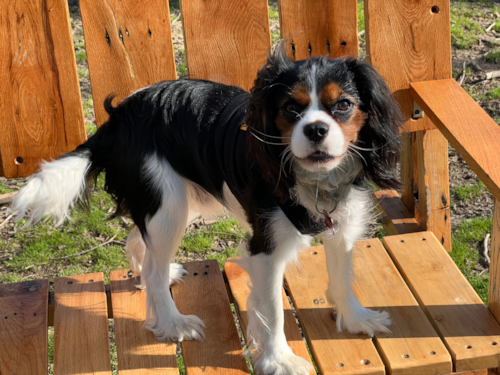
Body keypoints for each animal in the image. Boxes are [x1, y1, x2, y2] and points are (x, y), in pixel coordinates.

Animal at [10, 47, 402, 375]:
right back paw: (172, 323)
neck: (315, 180)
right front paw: (280, 360)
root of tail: (120, 116)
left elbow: (342, 276)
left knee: (140, 243)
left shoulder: (342, 226)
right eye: (291, 109)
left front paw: (355, 319)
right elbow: (273, 310)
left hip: (175, 204)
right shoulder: (266, 247)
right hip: (169, 205)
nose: (316, 129)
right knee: (152, 267)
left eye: (344, 105)